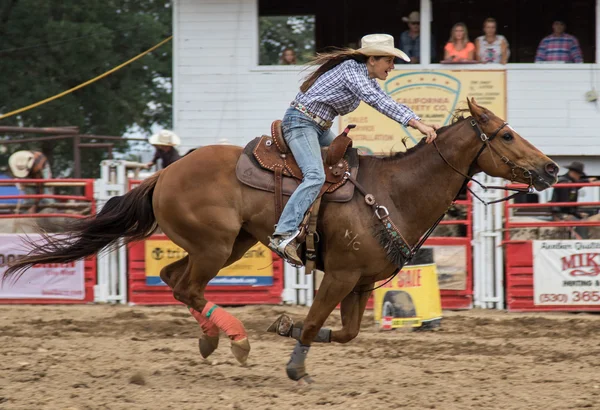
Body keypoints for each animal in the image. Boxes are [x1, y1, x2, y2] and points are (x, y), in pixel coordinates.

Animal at [3, 97, 556, 382]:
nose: (550, 168)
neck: (390, 192)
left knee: (173, 279)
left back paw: (212, 339)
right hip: (214, 246)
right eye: (507, 136)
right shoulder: (339, 275)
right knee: (186, 286)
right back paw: (236, 341)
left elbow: (346, 333)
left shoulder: (359, 284)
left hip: (231, 245)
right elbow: (315, 322)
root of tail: (165, 172)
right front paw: (294, 364)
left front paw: (284, 328)